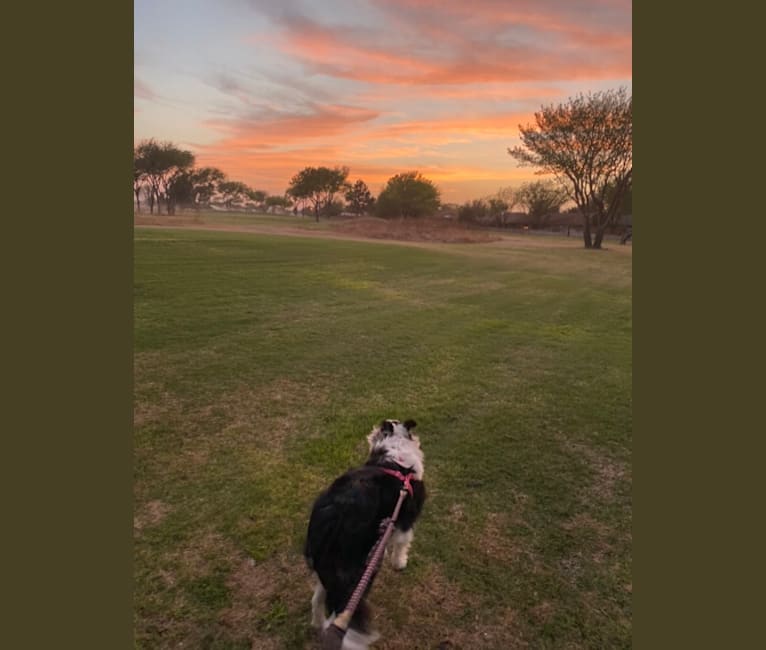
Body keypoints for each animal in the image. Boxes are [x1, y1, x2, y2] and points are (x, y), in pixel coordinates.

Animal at [304, 418, 426, 644]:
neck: (394, 451)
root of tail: (331, 520)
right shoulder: (405, 519)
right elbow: (402, 544)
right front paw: (399, 563)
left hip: (326, 571)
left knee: (317, 599)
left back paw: (317, 624)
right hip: (352, 577)